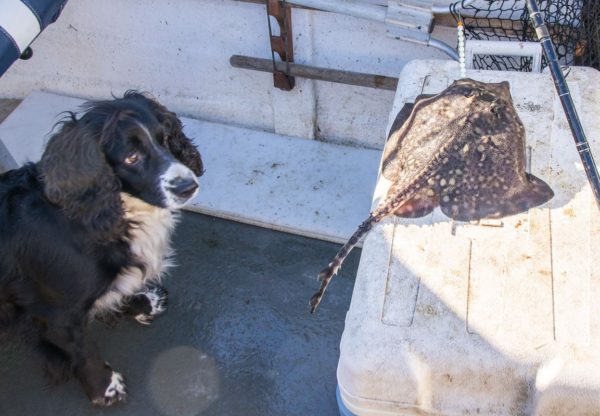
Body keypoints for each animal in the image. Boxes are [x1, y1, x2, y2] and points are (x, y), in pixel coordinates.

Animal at [0, 90, 203, 404]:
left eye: (167, 138)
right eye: (131, 157)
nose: (188, 187)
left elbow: (121, 288)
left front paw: (144, 301)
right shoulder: (59, 313)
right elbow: (85, 351)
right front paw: (105, 387)